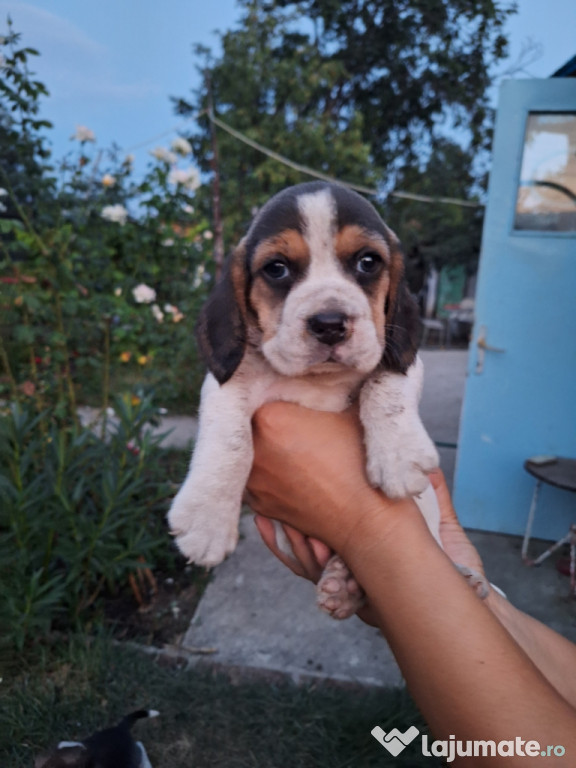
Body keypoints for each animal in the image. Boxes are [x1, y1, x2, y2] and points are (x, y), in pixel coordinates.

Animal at [169, 182, 488, 616]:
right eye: (276, 268)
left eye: (368, 262)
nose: (330, 324)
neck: (318, 380)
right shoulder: (228, 383)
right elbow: (229, 438)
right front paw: (207, 518)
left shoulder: (398, 357)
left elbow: (383, 387)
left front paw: (399, 455)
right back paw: (344, 584)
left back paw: (459, 577)